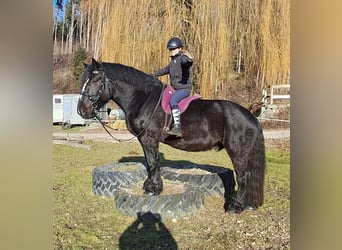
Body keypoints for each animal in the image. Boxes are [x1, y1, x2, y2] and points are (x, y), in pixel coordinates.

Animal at [78, 58, 268, 213]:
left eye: (96, 80)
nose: (82, 110)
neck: (143, 99)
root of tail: (251, 116)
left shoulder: (149, 139)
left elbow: (153, 163)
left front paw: (153, 189)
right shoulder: (144, 140)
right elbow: (150, 162)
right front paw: (150, 186)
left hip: (237, 152)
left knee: (243, 177)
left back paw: (235, 207)